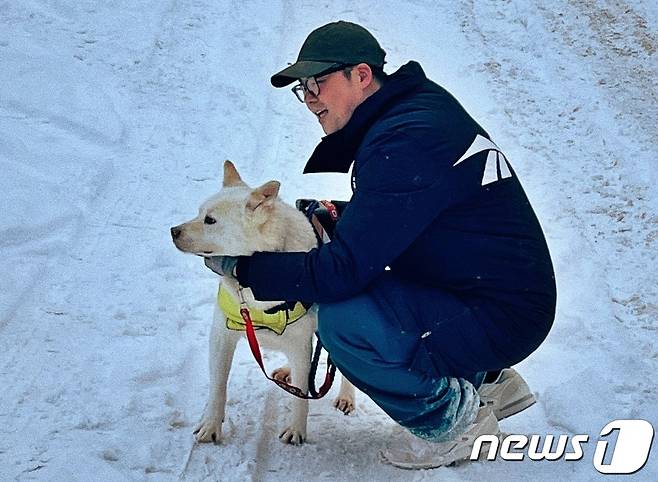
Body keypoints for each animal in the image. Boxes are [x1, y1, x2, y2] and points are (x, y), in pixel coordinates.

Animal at [169, 162, 354, 444]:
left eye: (210, 220)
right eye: (199, 212)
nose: (173, 231)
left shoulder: (299, 343)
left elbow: (301, 395)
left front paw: (296, 429)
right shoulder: (221, 337)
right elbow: (217, 387)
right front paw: (211, 424)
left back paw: (346, 396)